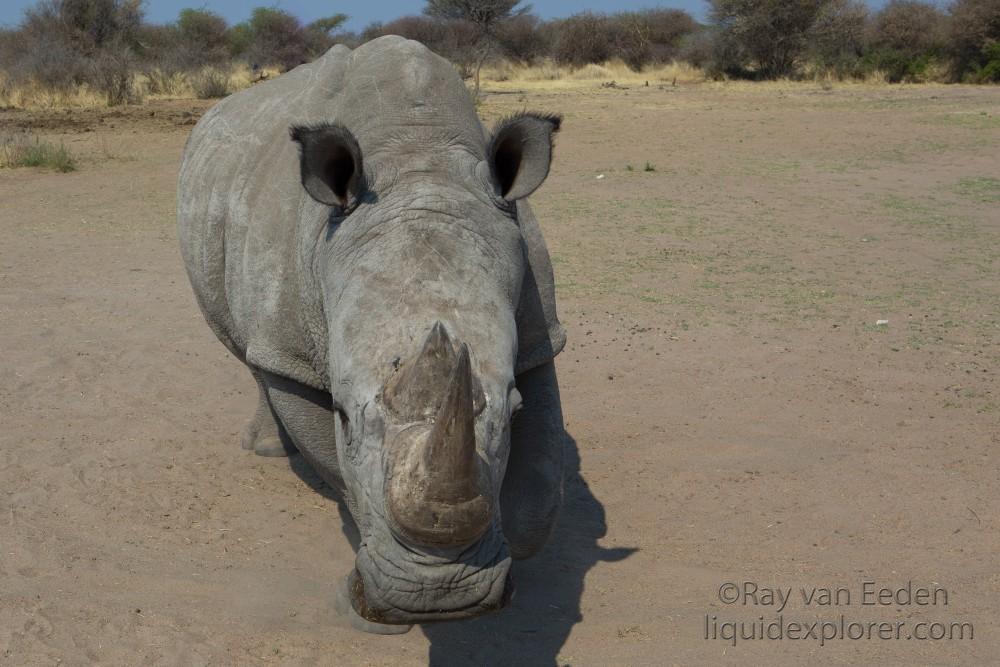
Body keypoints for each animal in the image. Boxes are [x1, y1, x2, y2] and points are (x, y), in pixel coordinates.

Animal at [177, 37, 568, 636]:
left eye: (514, 408)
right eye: (340, 414)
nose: (441, 597)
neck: (419, 161)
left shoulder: (538, 332)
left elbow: (540, 487)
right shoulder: (294, 352)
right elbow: (339, 469)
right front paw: (371, 614)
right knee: (254, 356)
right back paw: (265, 447)